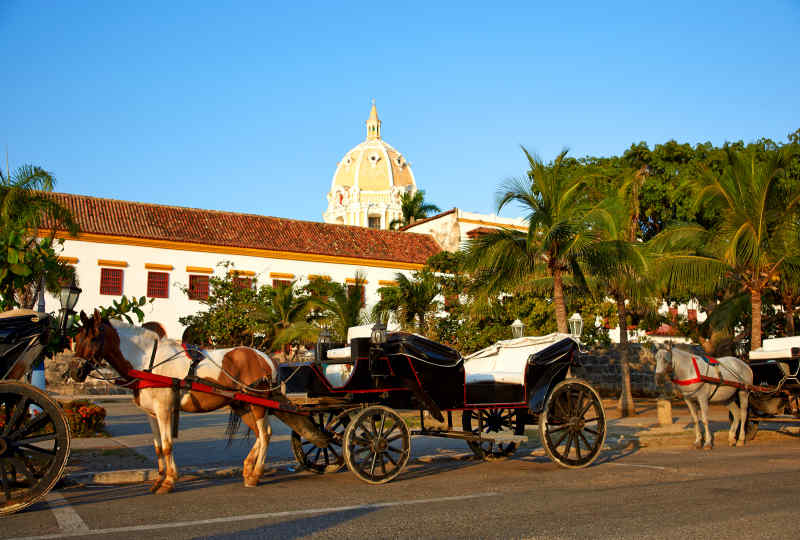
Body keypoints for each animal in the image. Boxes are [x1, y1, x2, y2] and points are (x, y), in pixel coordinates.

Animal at [72, 312, 284, 494]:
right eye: (77, 338)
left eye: (93, 338)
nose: (75, 372)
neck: (148, 361)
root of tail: (265, 358)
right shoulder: (151, 413)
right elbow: (158, 447)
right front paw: (158, 480)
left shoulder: (164, 410)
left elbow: (167, 445)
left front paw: (169, 481)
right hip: (242, 405)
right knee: (259, 434)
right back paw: (248, 469)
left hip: (258, 404)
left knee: (265, 434)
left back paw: (256, 474)